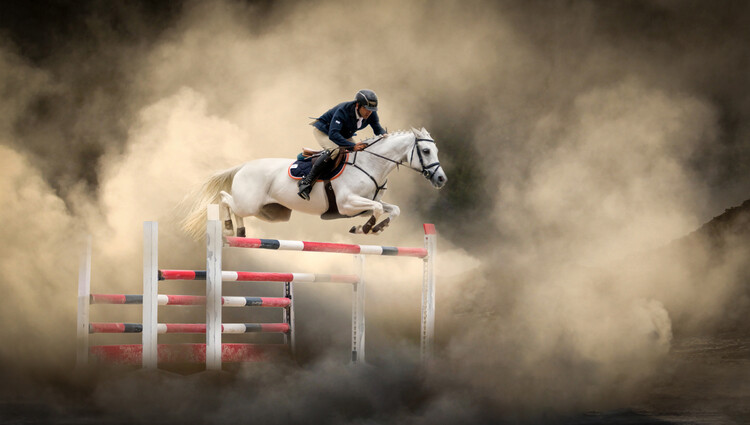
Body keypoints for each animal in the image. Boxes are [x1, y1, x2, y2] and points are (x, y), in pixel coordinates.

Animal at [181, 127, 447, 238]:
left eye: (435, 150)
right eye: (425, 150)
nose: (441, 179)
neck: (371, 164)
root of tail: (244, 166)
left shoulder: (359, 207)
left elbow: (391, 209)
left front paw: (375, 228)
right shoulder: (347, 204)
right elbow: (378, 208)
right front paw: (366, 228)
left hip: (269, 213)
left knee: (235, 206)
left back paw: (240, 231)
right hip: (249, 203)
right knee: (225, 199)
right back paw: (227, 227)